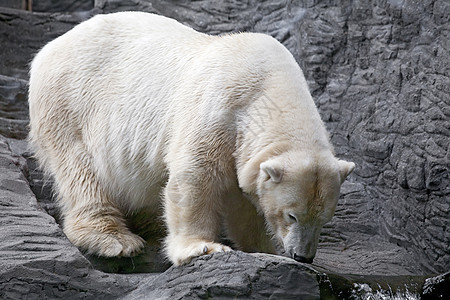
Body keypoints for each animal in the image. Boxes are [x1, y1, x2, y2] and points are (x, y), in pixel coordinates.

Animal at [28, 11, 356, 264]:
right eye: (291, 216)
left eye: (324, 218)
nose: (304, 256)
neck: (269, 87)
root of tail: (49, 48)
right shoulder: (220, 107)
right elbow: (195, 175)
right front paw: (202, 247)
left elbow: (243, 195)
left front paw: (263, 249)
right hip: (70, 105)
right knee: (82, 172)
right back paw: (114, 239)